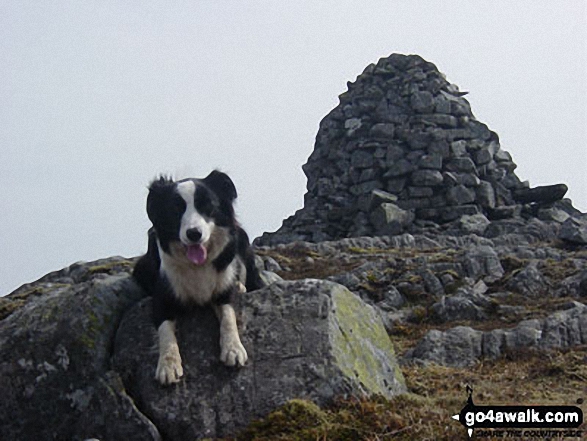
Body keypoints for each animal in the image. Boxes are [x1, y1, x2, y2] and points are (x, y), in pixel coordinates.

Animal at [134, 170, 262, 384]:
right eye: (175, 209)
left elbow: (229, 316)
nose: (194, 234)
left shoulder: (224, 291)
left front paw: (233, 349)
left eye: (207, 205)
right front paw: (168, 365)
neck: (197, 266)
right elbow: (165, 332)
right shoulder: (162, 298)